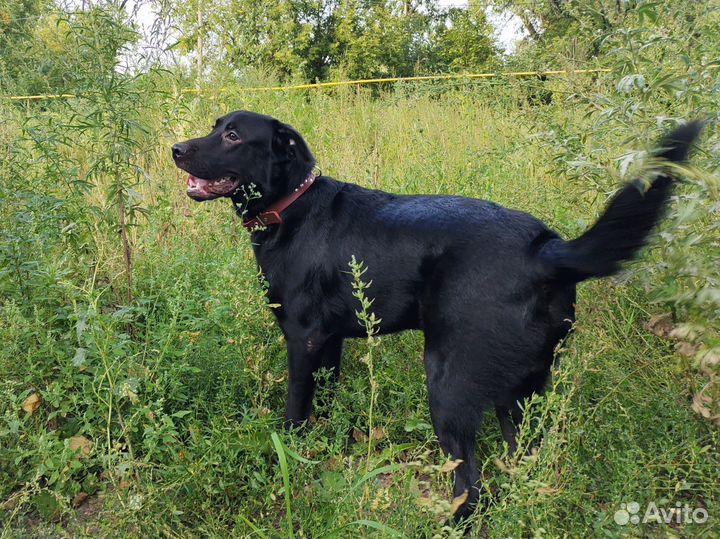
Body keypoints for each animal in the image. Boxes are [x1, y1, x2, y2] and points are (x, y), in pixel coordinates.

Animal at [172, 114, 700, 524]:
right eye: (215, 127)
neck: (291, 208)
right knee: (523, 461)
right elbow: (326, 401)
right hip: (521, 392)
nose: (176, 149)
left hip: (449, 384)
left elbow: (296, 411)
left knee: (472, 483)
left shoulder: (302, 340)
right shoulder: (330, 342)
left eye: (233, 135)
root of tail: (546, 251)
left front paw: (291, 454)